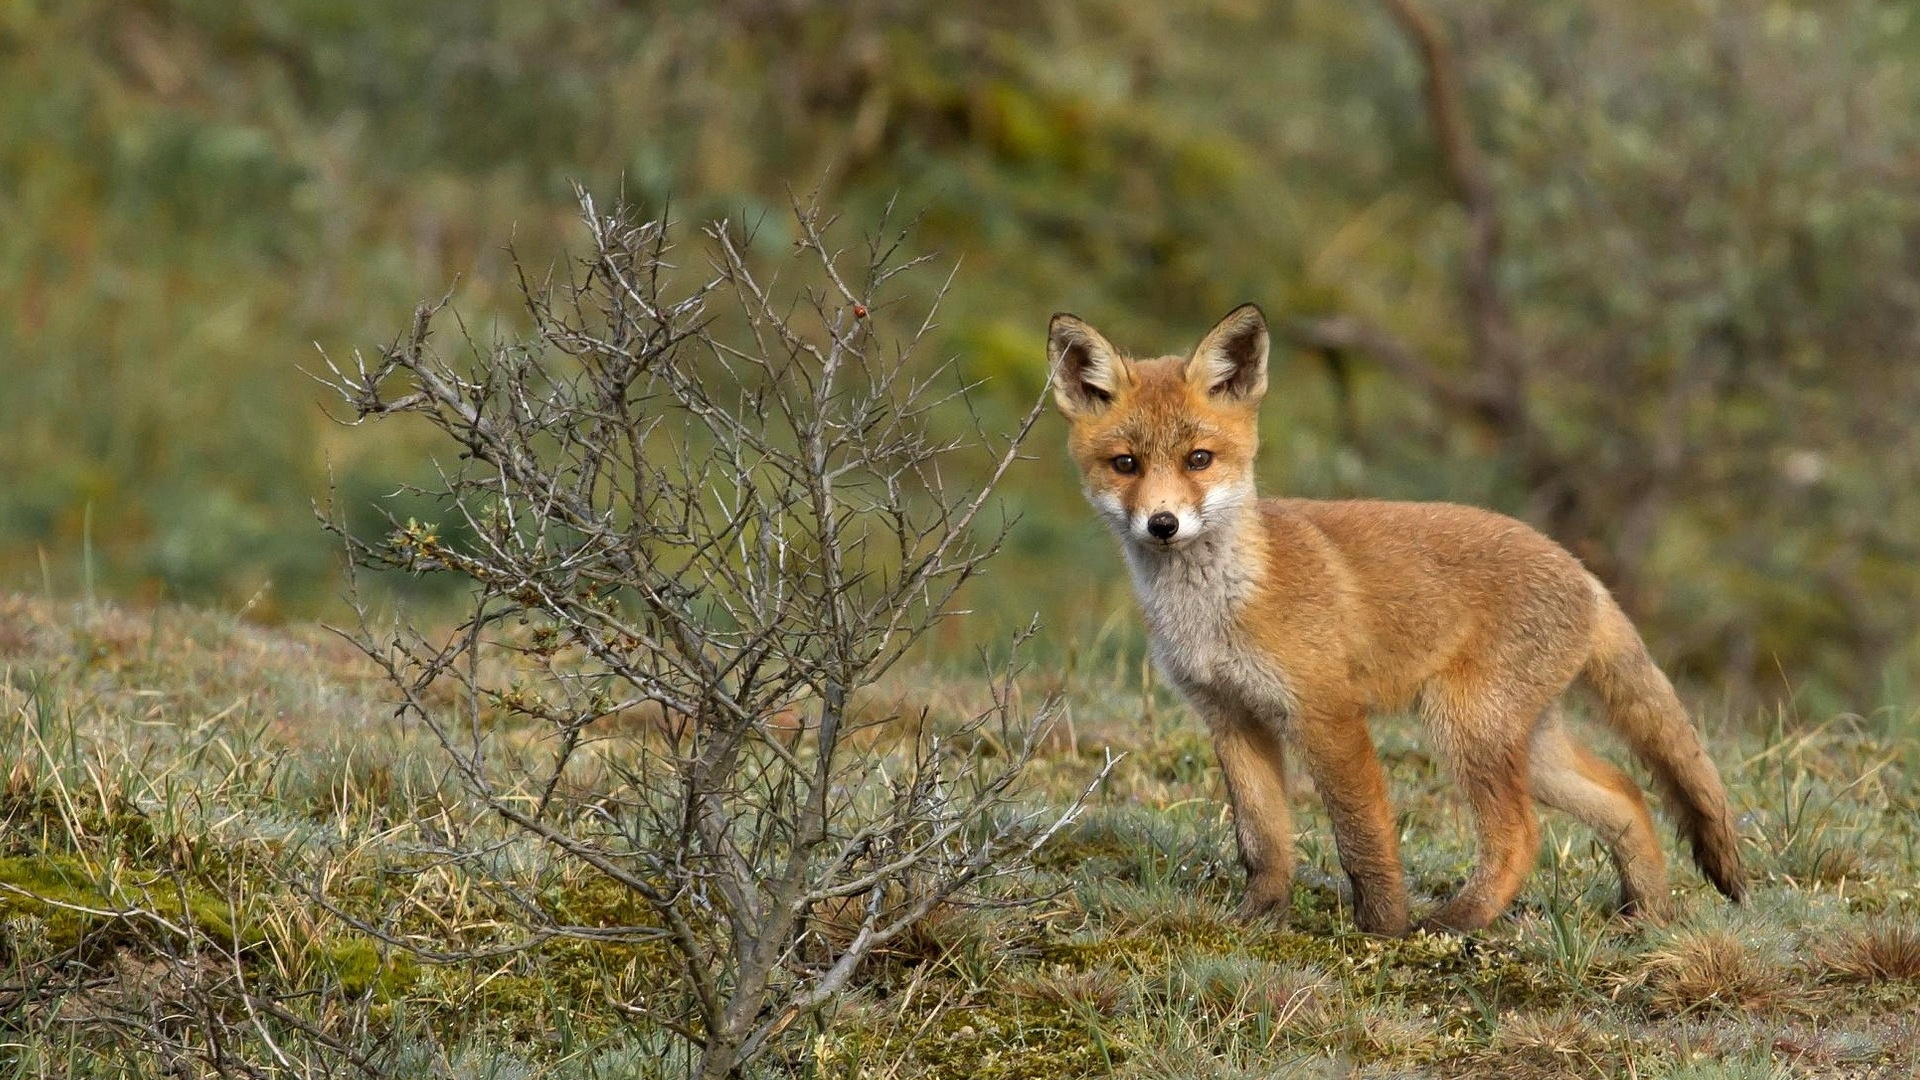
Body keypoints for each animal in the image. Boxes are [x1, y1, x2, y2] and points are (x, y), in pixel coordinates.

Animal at [1044, 305, 1751, 933]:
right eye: (1126, 464)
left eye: (1198, 459)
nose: (1163, 523)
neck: (1220, 608)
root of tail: (1585, 572)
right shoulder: (1232, 716)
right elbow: (1263, 842)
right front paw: (1256, 919)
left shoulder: (1327, 713)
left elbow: (1362, 835)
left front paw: (1381, 929)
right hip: (1525, 741)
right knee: (1626, 795)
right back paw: (1650, 917)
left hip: (1465, 725)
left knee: (1522, 835)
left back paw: (1456, 922)